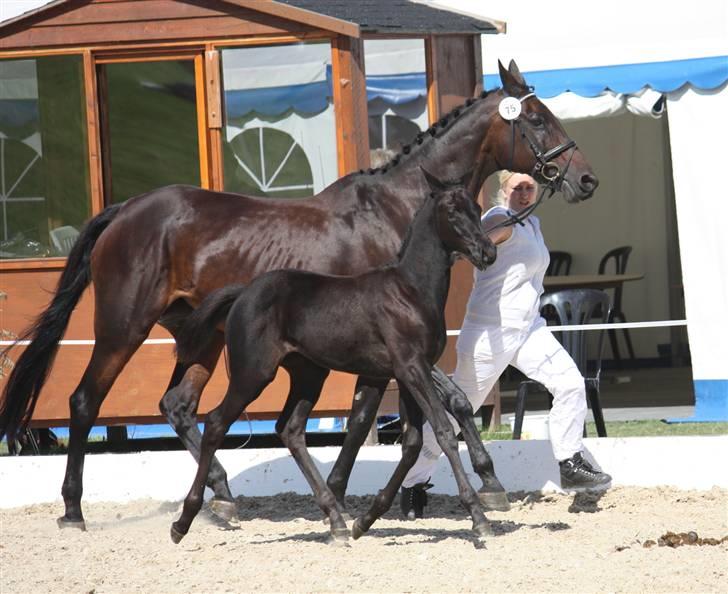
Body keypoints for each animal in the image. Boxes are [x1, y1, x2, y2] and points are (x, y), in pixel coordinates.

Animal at [173, 169, 498, 544]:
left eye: (477, 207)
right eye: (452, 210)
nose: (488, 252)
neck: (410, 290)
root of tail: (243, 292)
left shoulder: (405, 374)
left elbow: (413, 444)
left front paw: (366, 520)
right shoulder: (412, 368)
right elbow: (444, 432)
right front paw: (478, 517)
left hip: (308, 375)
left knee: (290, 429)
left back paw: (337, 521)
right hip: (252, 374)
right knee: (215, 424)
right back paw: (185, 520)